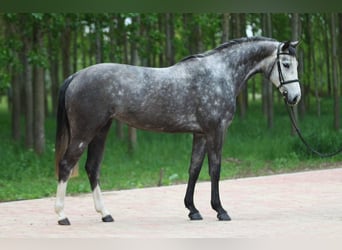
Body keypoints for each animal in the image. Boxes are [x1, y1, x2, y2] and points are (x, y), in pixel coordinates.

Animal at [54, 36, 300, 225]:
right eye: (286, 64)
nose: (295, 97)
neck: (220, 73)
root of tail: (75, 76)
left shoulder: (200, 134)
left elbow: (194, 169)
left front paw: (193, 210)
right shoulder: (216, 131)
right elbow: (215, 169)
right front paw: (220, 210)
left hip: (100, 131)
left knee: (92, 168)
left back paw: (105, 214)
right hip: (84, 132)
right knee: (66, 165)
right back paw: (62, 215)